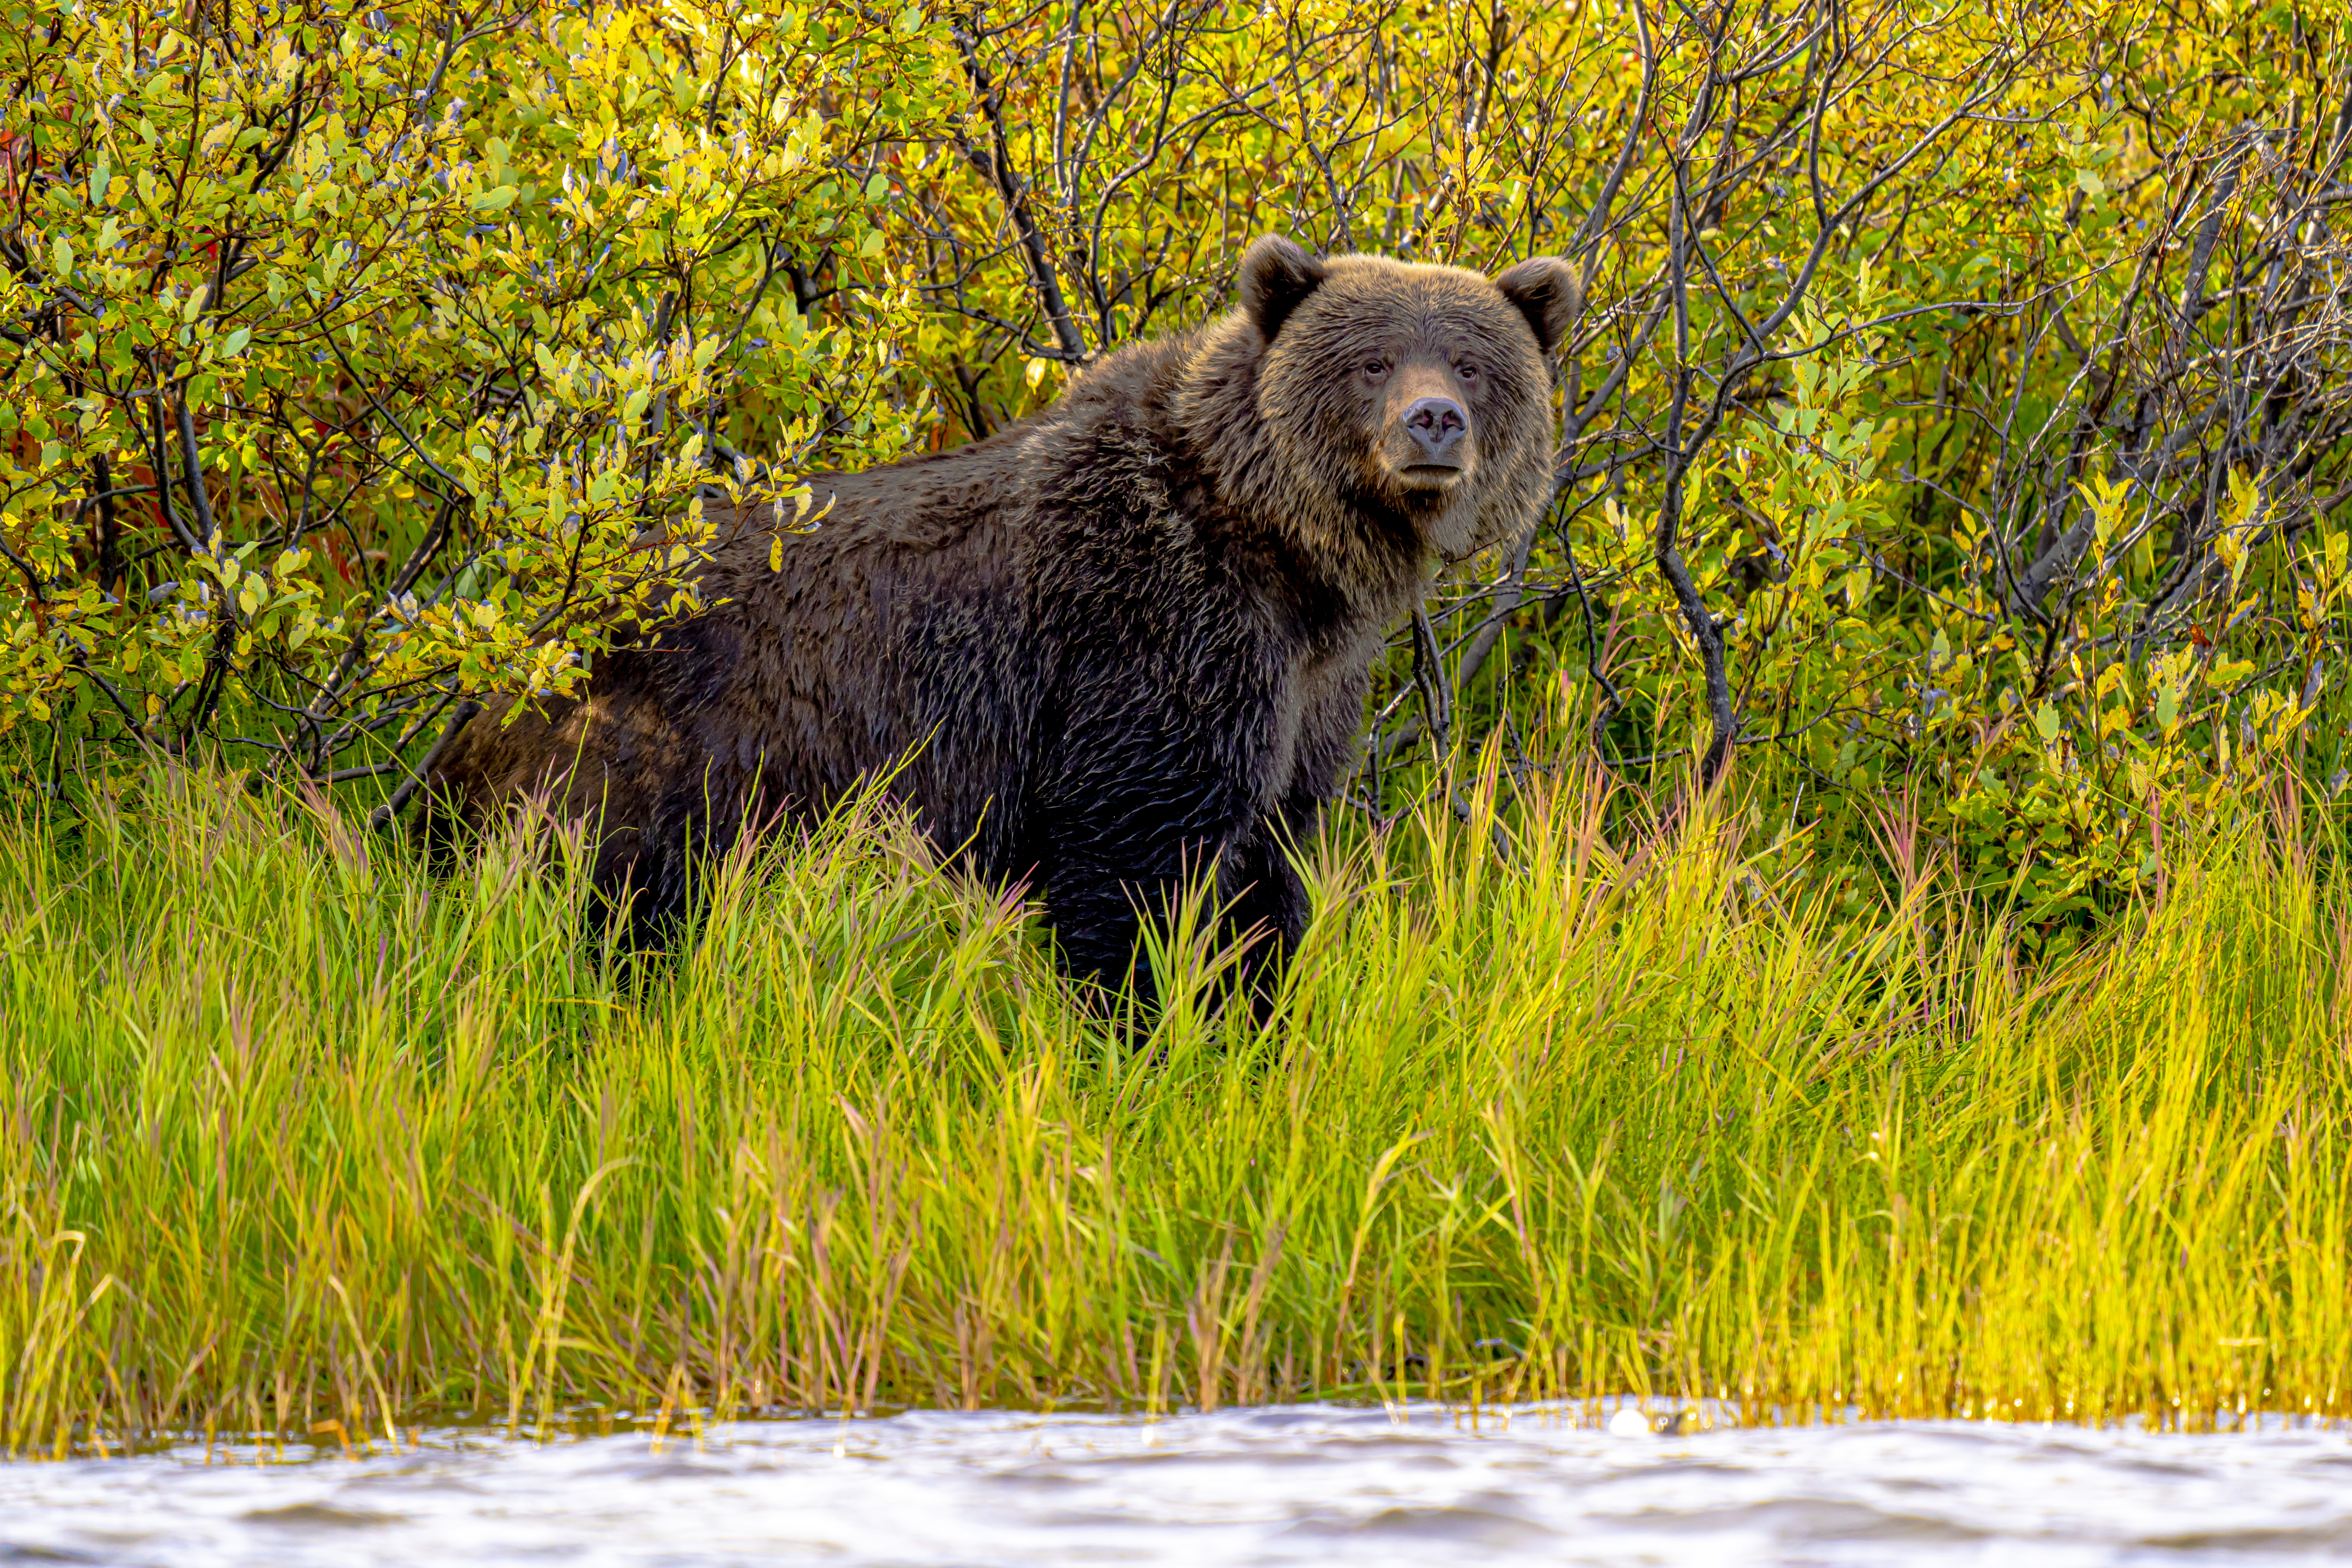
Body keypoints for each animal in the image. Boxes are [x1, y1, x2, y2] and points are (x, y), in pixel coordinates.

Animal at [432, 242, 1571, 1006]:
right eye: (1372, 360)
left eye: (1472, 363)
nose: (1432, 422)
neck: (1287, 557)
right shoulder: (1151, 634)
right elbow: (1133, 860)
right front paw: (1141, 1031)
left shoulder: (1307, 690)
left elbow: (1268, 865)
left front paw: (1252, 1023)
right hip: (661, 751)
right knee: (619, 899)